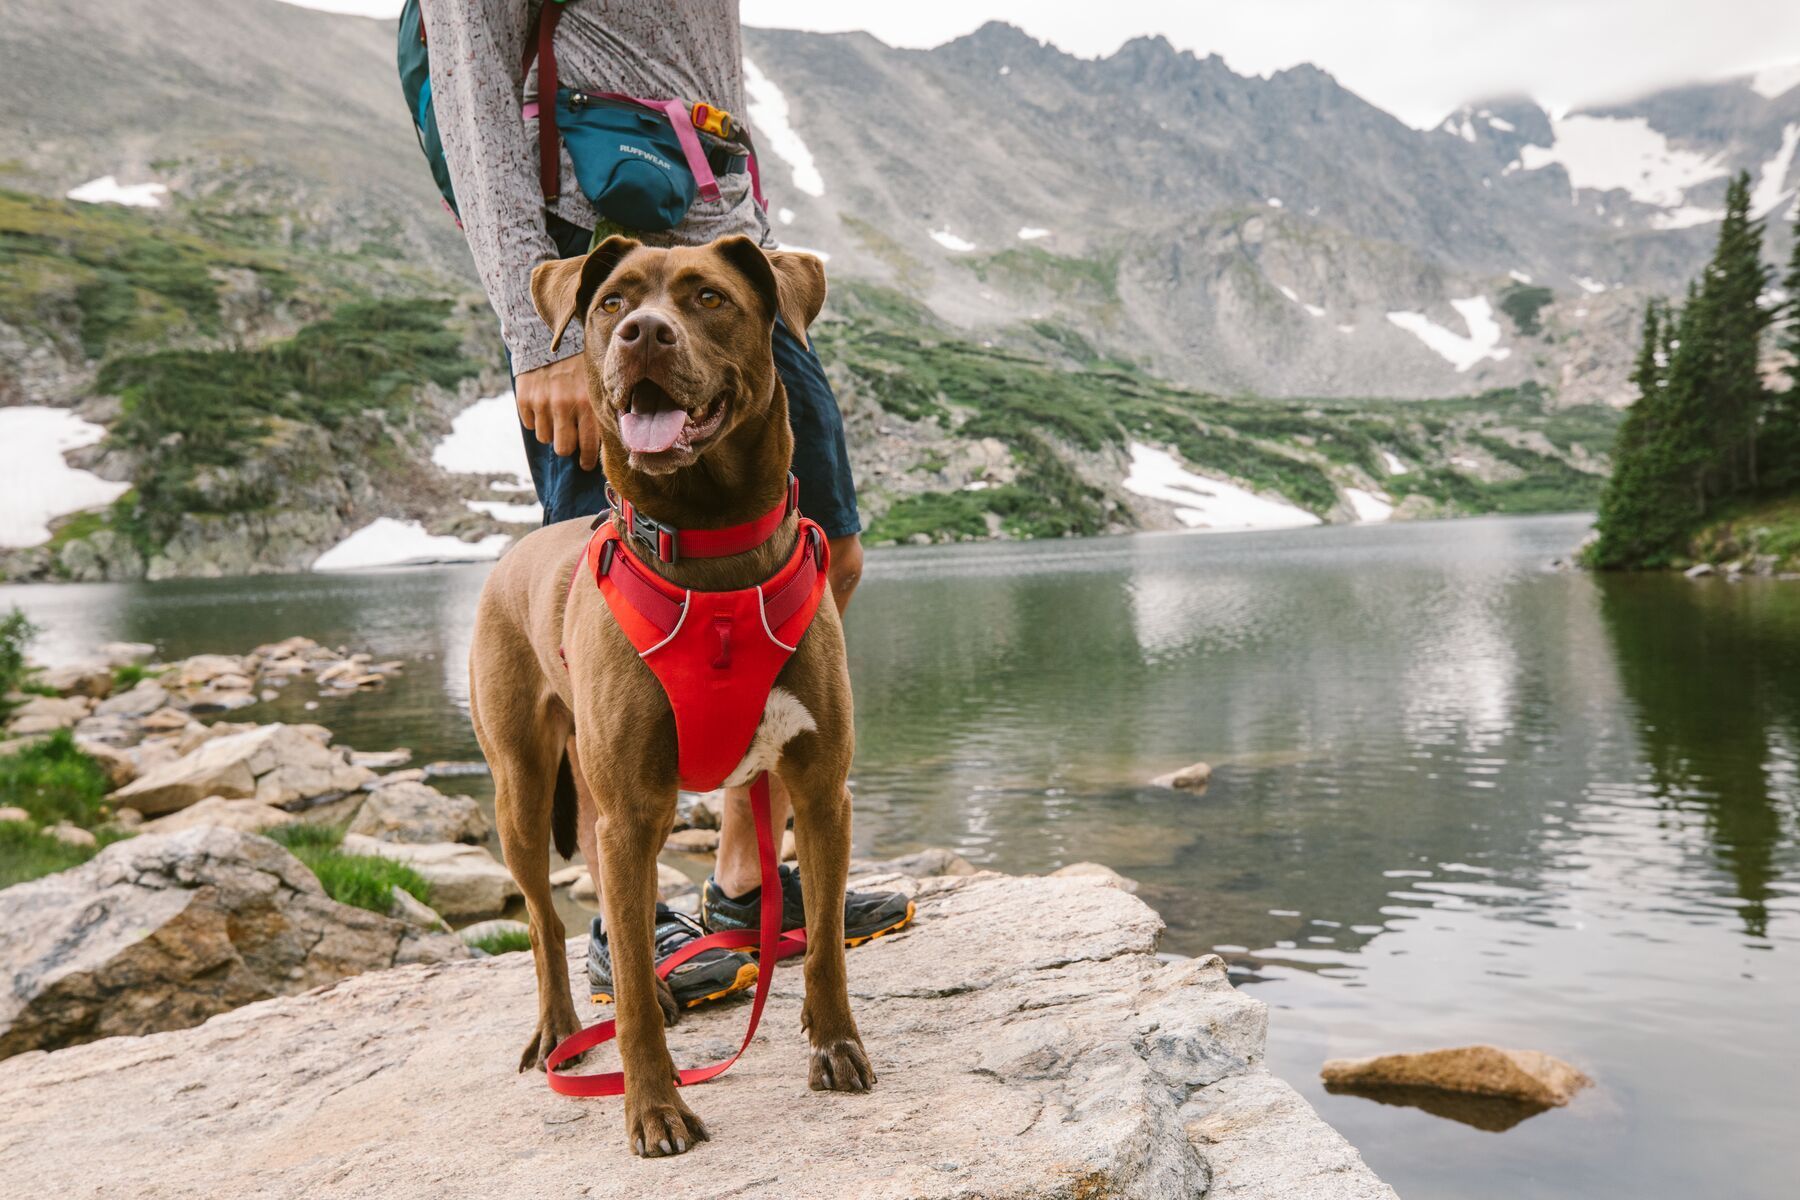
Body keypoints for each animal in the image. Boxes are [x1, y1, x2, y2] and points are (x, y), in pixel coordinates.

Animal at [468, 230, 867, 1158]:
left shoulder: (820, 786)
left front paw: (834, 1044)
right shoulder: (629, 811)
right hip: (523, 788)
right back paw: (561, 1030)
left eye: (708, 297)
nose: (642, 335)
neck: (712, 549)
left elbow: (826, 942)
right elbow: (631, 985)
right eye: (613, 301)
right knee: (547, 921)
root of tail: (513, 554)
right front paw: (654, 1108)